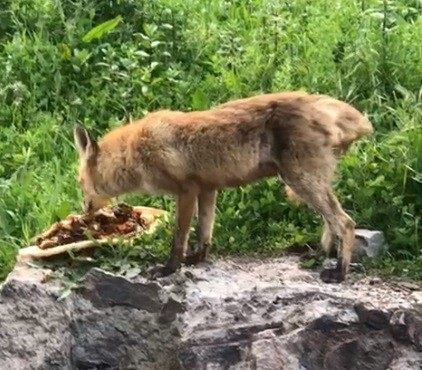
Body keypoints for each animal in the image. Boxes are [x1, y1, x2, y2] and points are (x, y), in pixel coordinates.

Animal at [74, 91, 374, 282]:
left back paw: (339, 273)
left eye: (80, 183)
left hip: (300, 180)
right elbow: (204, 233)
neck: (135, 151)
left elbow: (179, 238)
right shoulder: (208, 189)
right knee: (331, 222)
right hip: (307, 183)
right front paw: (197, 259)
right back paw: (320, 255)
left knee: (345, 222)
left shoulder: (186, 190)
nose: (84, 213)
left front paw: (170, 269)